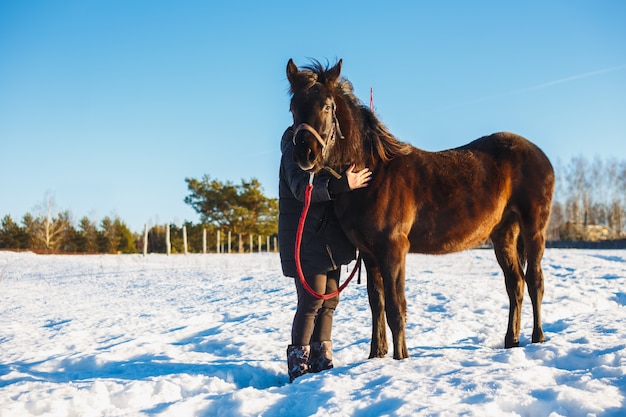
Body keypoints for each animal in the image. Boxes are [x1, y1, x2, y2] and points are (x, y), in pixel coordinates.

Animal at [286, 57, 552, 358]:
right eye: (293, 107)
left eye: (327, 106)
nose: (304, 155)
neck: (374, 173)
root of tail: (539, 154)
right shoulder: (369, 254)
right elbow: (377, 304)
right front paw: (376, 356)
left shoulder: (393, 249)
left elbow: (395, 307)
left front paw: (401, 358)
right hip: (504, 233)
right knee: (515, 284)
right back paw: (511, 340)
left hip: (533, 230)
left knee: (535, 282)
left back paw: (538, 337)